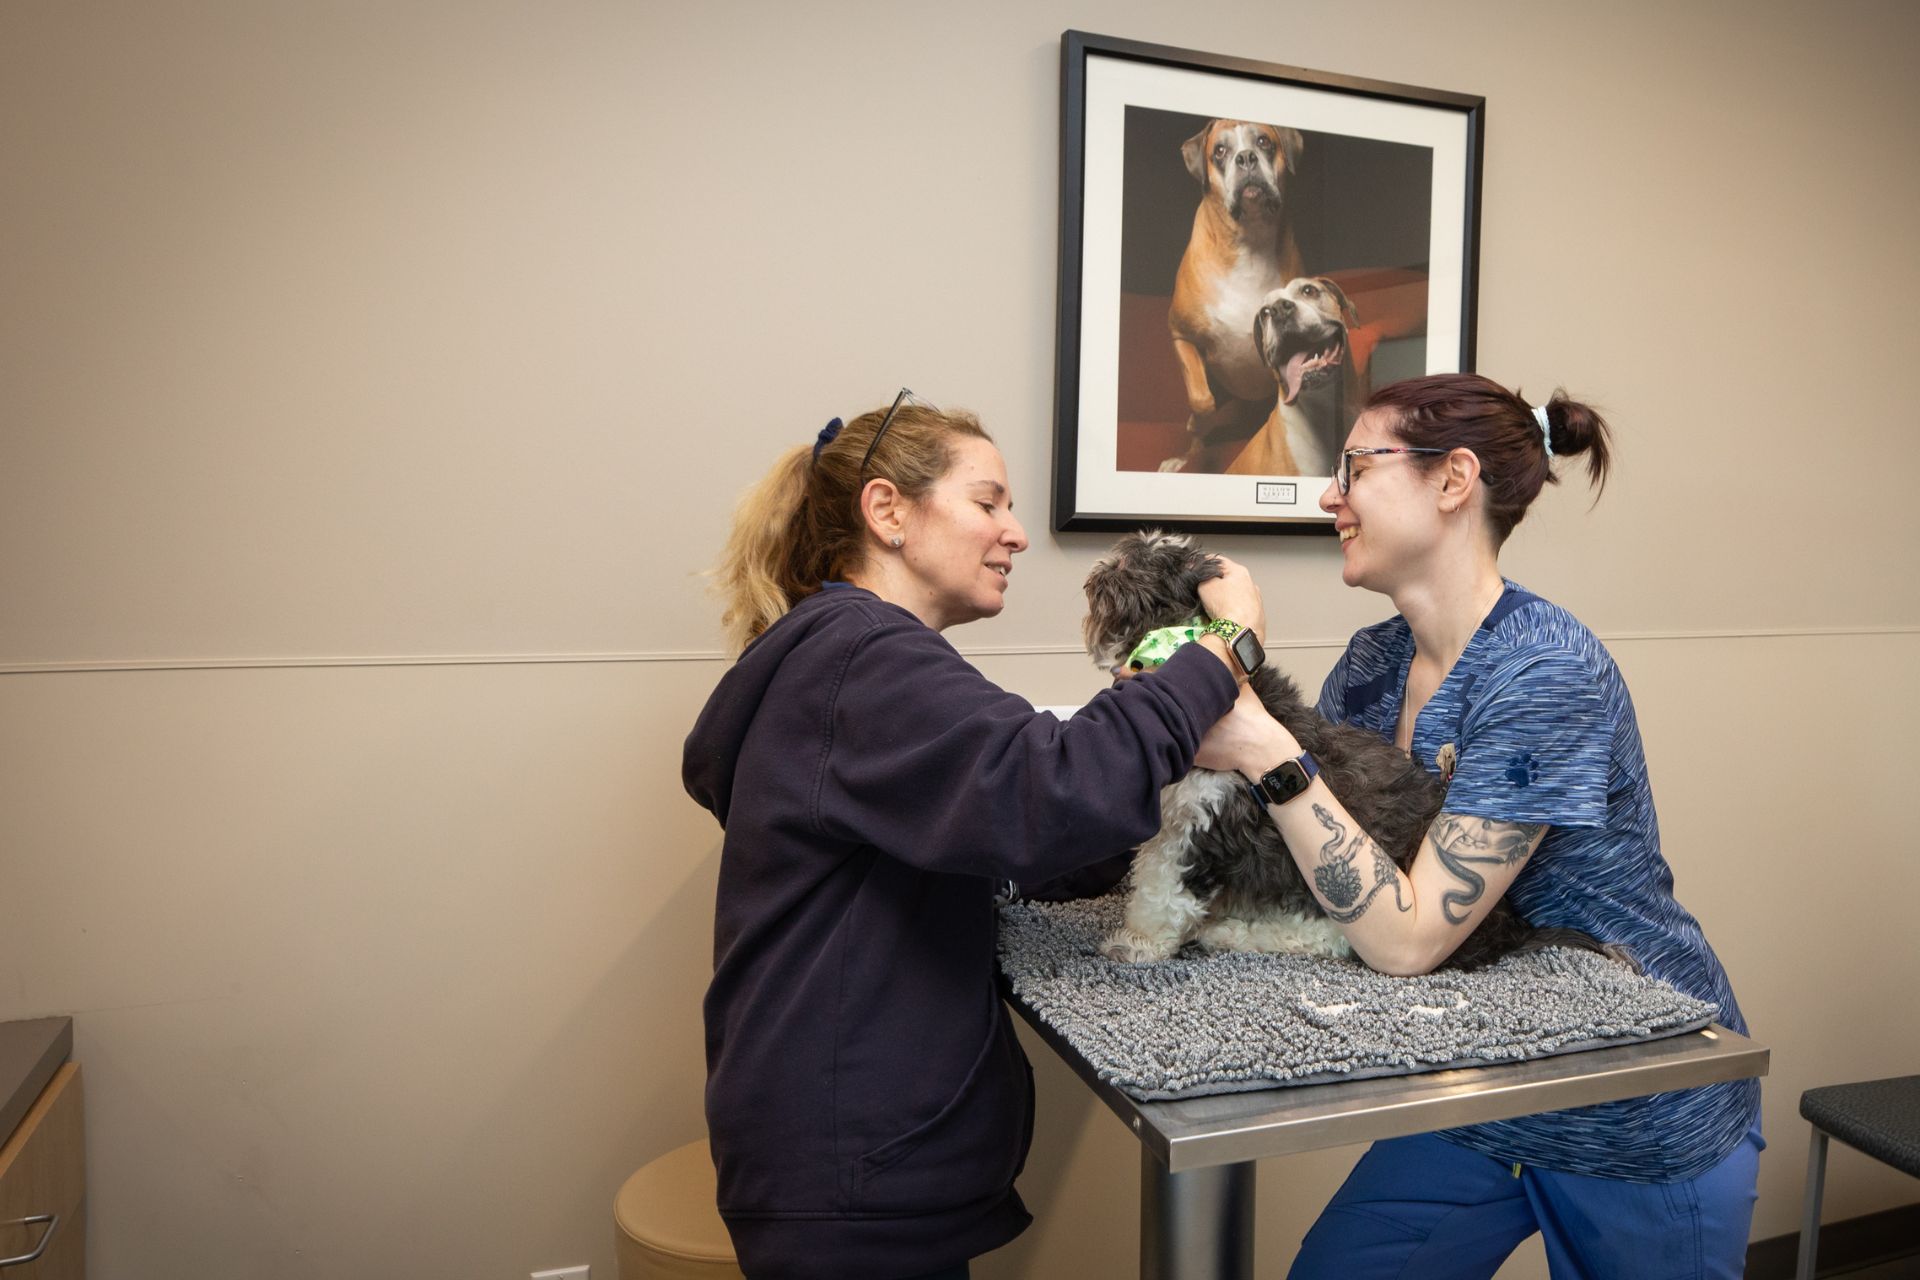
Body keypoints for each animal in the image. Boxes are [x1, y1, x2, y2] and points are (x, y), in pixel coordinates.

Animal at [1090, 529, 1612, 971]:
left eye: (1148, 566)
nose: (1102, 567)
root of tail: (1507, 928)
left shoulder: (1199, 828)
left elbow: (1160, 893)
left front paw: (1137, 944)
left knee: (1336, 937)